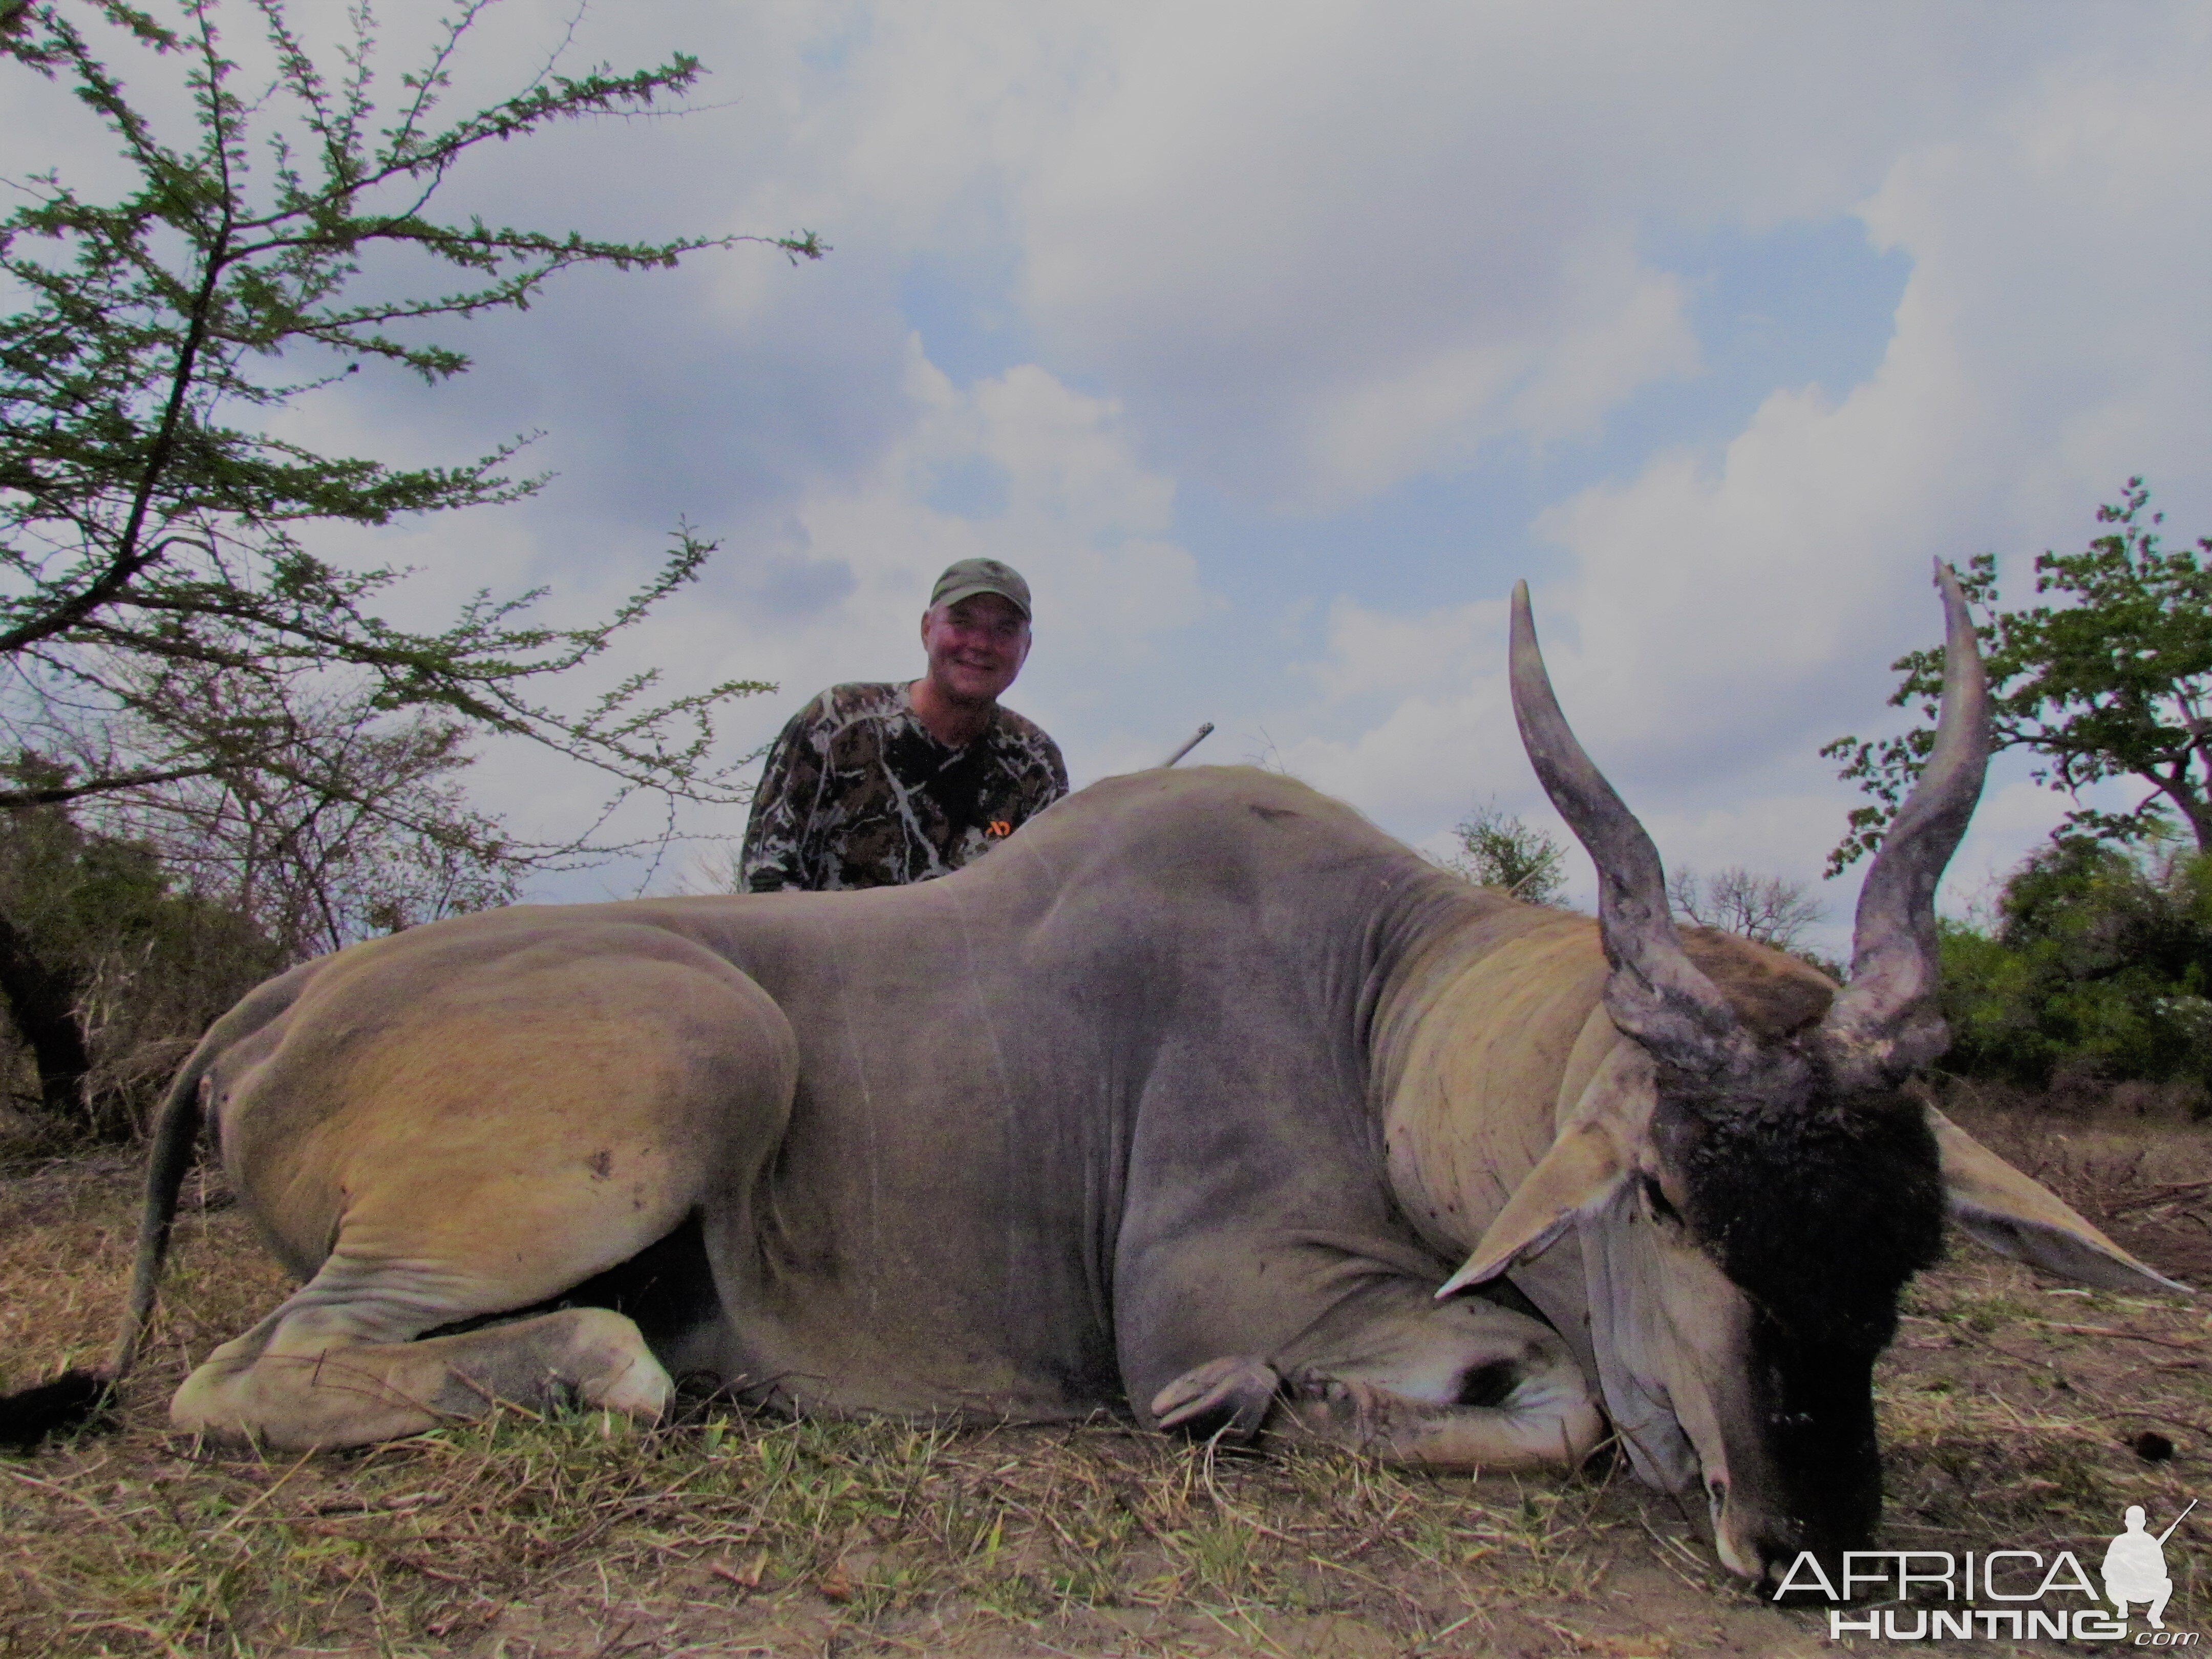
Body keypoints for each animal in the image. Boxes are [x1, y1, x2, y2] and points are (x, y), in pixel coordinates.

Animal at [0, 570, 2176, 1584]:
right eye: (1656, 1193)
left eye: (1905, 1249)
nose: (1810, 1530)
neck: (1371, 992)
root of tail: (277, 1005)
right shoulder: (1232, 1288)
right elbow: (1524, 1402)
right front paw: (1253, 1412)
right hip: (692, 1059)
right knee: (268, 1370)